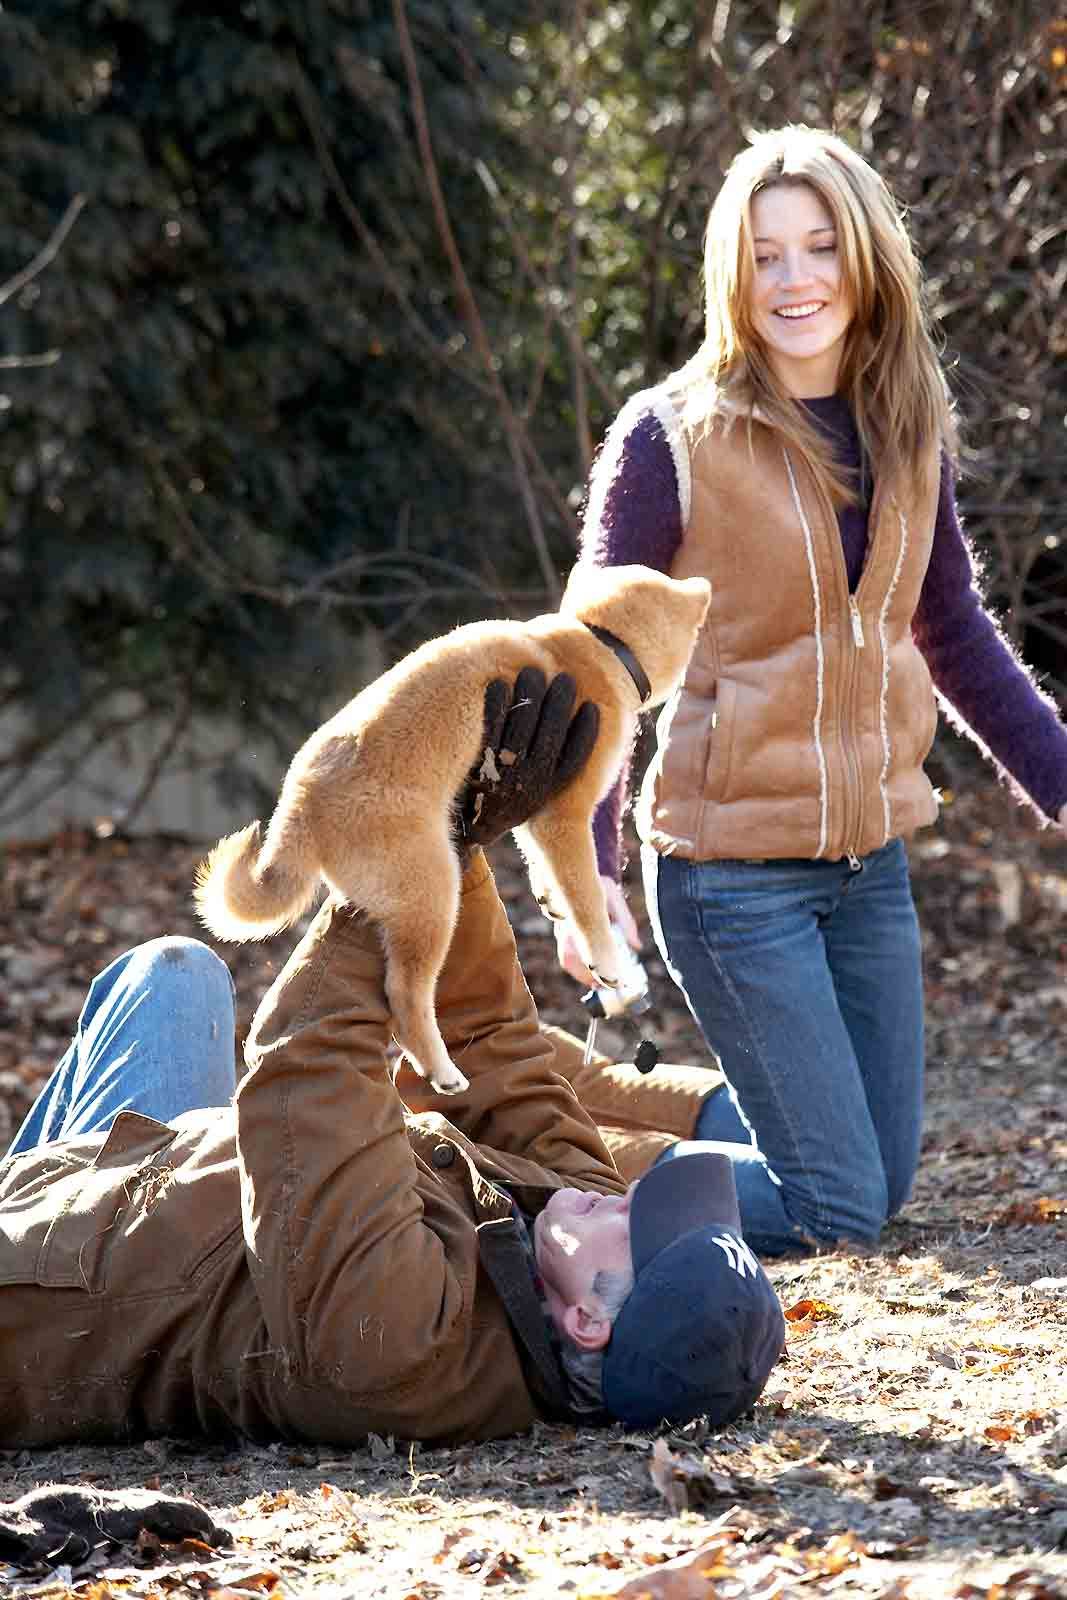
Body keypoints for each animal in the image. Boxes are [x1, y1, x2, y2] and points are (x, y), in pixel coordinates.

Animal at [194, 566, 710, 1100]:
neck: (599, 642)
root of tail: (299, 808)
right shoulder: (565, 816)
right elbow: (587, 901)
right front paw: (608, 962)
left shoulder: (534, 808)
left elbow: (547, 872)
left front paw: (550, 900)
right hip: (434, 898)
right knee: (404, 997)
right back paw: (441, 1070)